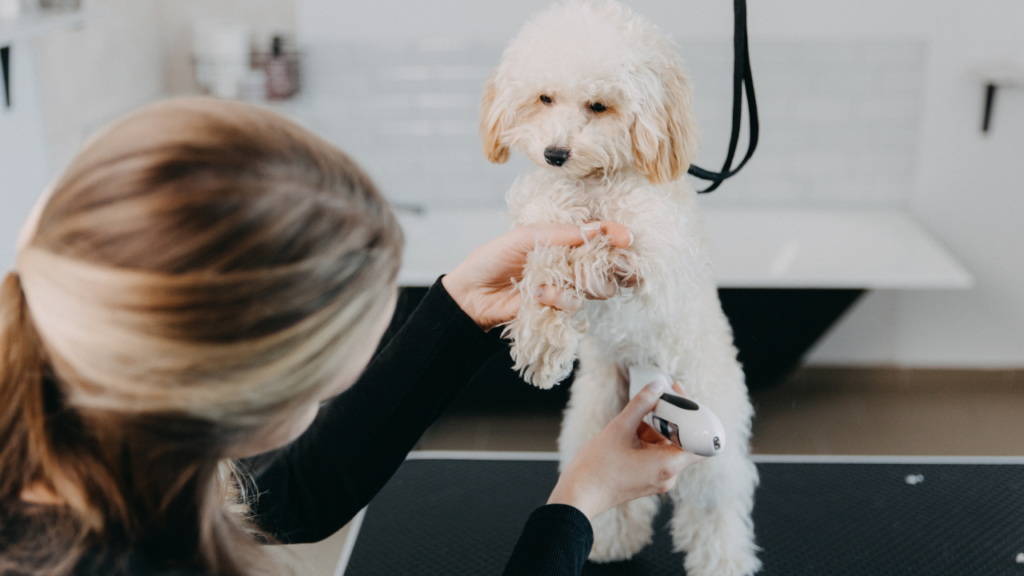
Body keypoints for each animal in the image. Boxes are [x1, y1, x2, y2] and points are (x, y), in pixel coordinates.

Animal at [479, 2, 761, 569]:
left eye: (599, 105)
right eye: (544, 98)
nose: (555, 154)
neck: (593, 184)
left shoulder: (661, 254)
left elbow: (610, 250)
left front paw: (586, 266)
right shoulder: (543, 217)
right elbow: (545, 257)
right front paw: (541, 338)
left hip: (710, 424)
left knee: (717, 506)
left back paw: (724, 562)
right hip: (592, 415)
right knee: (612, 504)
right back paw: (609, 541)